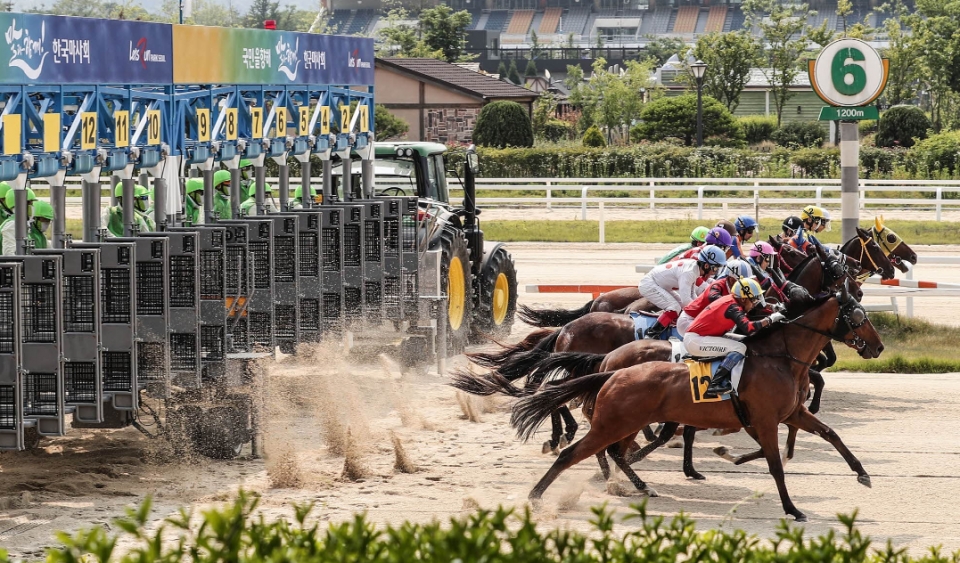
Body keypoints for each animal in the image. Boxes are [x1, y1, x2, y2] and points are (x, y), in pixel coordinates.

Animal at [510, 290, 884, 524]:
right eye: (858, 315)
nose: (878, 346)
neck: (780, 357)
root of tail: (612, 369)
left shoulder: (790, 413)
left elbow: (830, 433)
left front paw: (862, 473)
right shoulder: (764, 420)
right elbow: (776, 465)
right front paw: (792, 509)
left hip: (624, 423)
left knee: (614, 451)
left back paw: (635, 484)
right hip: (613, 423)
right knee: (574, 453)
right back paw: (540, 494)